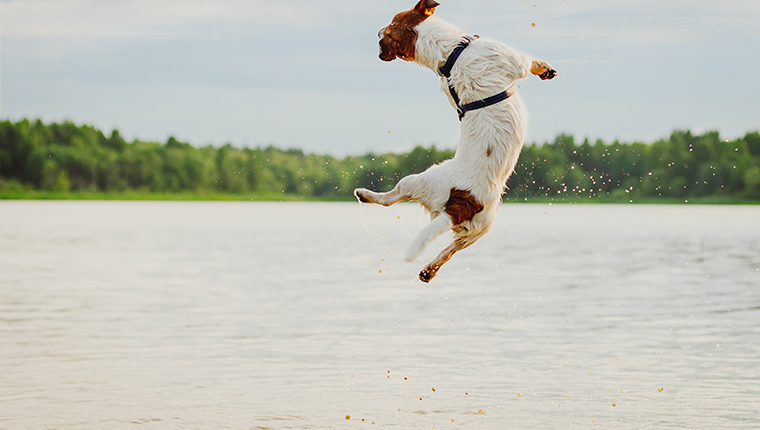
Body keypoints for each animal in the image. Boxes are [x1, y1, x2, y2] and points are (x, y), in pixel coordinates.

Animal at [354, 0, 556, 282]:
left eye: (392, 21)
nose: (377, 32)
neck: (450, 52)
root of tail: (461, 204)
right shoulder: (515, 62)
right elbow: (530, 62)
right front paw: (545, 69)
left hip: (478, 228)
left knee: (450, 249)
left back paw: (429, 270)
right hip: (421, 182)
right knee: (390, 199)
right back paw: (365, 194)